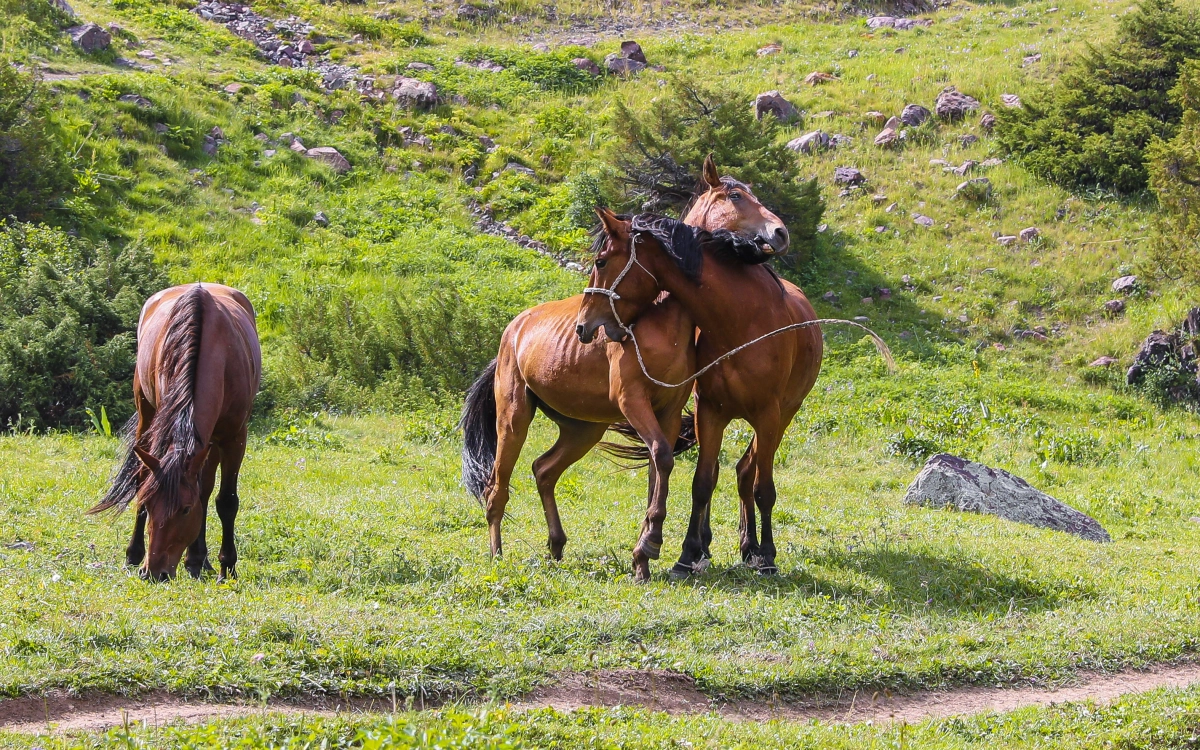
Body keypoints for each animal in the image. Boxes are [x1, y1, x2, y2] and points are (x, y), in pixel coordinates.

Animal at [90, 283, 264, 583]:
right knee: (145, 475)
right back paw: (145, 555)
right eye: (149, 505)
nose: (154, 572)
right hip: (147, 415)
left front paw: (227, 567)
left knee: (205, 490)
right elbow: (144, 482)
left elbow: (226, 501)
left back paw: (200, 560)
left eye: (184, 509)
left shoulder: (234, 438)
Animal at [458, 168, 787, 578]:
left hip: (582, 429)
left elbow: (658, 469)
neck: (664, 325)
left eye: (600, 261)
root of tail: (513, 330)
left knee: (543, 470)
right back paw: (497, 556)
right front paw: (651, 542)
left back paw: (556, 545)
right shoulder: (633, 401)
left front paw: (643, 554)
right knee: (496, 489)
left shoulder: (667, 411)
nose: (779, 233)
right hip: (514, 421)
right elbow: (661, 457)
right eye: (737, 197)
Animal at [580, 198, 892, 573]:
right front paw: (687, 555)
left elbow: (764, 489)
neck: (739, 323)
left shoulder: (768, 415)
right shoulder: (710, 412)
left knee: (748, 474)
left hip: (783, 416)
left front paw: (768, 554)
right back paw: (737, 545)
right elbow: (703, 483)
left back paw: (755, 548)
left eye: (600, 261)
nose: (584, 324)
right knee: (735, 472)